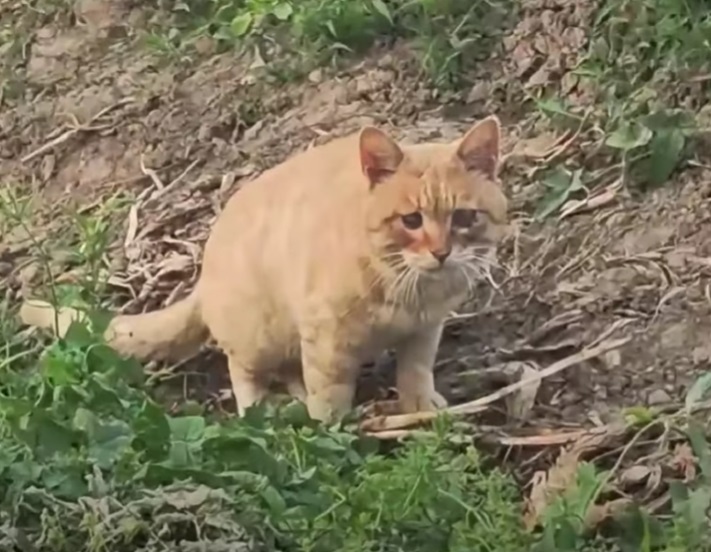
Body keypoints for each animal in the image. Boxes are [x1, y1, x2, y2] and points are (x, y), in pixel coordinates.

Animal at [20, 114, 506, 420]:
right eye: (411, 221)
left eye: (464, 218)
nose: (441, 253)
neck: (408, 288)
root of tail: (204, 274)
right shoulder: (326, 336)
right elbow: (330, 397)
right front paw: (333, 435)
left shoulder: (425, 330)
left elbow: (416, 370)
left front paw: (419, 408)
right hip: (260, 335)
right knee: (244, 373)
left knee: (288, 371)